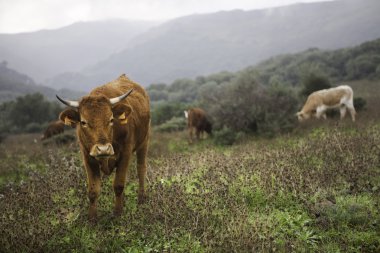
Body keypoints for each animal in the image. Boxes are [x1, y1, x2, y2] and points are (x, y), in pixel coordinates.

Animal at [56, 74, 150, 220]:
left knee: (141, 169)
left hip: (144, 142)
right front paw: (92, 219)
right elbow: (93, 190)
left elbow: (118, 185)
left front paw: (117, 214)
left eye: (111, 119)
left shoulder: (126, 153)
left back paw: (141, 199)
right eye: (83, 122)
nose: (103, 149)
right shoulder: (87, 157)